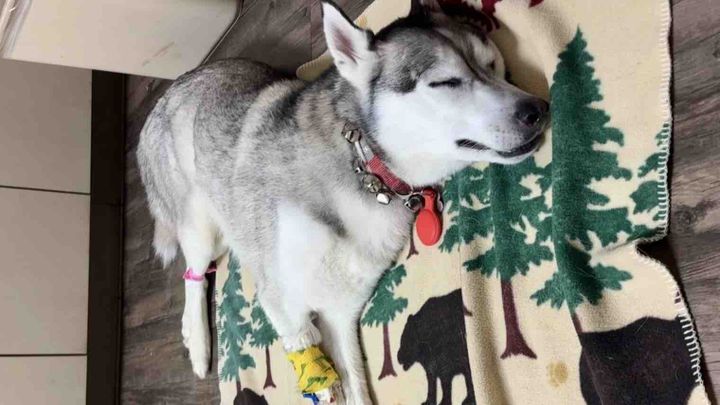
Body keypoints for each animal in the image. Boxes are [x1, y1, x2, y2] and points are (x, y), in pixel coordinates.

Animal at [137, 0, 549, 403]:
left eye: (494, 65)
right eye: (445, 82)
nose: (538, 109)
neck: (366, 169)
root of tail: (171, 89)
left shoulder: (340, 313)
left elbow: (352, 382)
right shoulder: (281, 302)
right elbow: (310, 357)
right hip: (200, 225)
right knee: (194, 272)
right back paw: (198, 341)